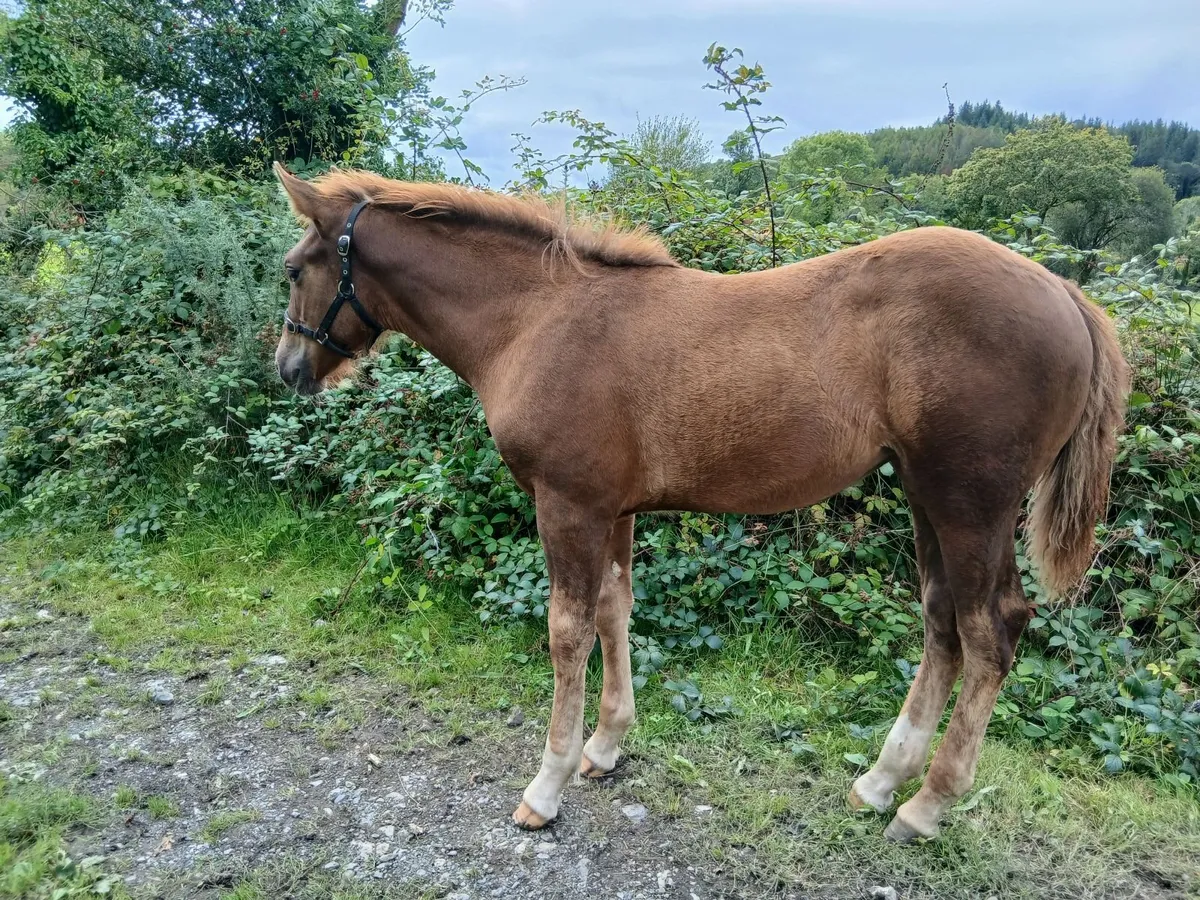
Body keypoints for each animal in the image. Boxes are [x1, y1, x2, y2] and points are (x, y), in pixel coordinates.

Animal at [271, 162, 1129, 841]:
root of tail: (1067, 293)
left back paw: (925, 808)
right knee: (943, 621)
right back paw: (881, 783)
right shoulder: (613, 509)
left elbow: (566, 633)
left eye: (292, 268)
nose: (287, 370)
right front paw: (605, 748)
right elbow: (615, 609)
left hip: (970, 503)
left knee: (992, 630)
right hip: (927, 498)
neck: (536, 318)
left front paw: (545, 788)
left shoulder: (568, 505)